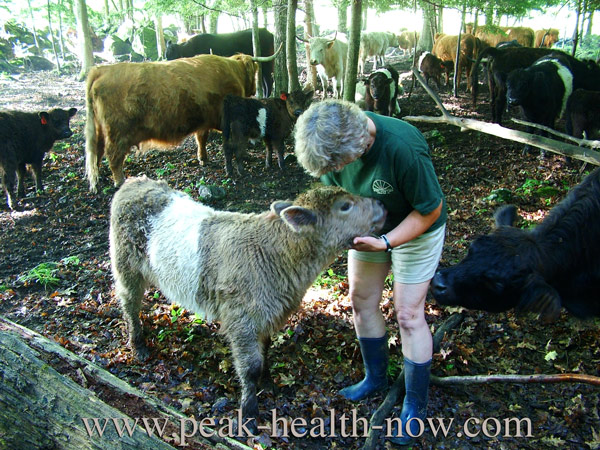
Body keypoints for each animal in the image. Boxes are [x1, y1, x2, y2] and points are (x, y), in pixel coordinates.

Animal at [85, 51, 276, 192]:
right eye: (255, 72)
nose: (253, 90)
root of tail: (101, 70)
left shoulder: (204, 121)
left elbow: (201, 139)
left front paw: (203, 159)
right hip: (118, 132)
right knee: (113, 155)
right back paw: (119, 181)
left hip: (100, 129)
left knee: (97, 150)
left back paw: (99, 177)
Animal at [110, 177, 386, 432]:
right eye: (345, 206)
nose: (382, 204)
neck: (276, 253)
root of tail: (133, 182)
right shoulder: (241, 320)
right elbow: (250, 367)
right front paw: (249, 413)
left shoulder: (267, 314)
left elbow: (265, 351)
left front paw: (268, 382)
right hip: (125, 264)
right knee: (129, 302)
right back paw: (138, 344)